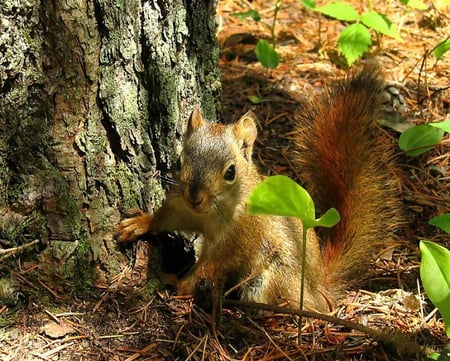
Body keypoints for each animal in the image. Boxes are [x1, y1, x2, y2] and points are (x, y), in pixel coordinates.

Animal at [117, 63, 404, 310]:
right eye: (179, 161)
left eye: (230, 172)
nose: (195, 197)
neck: (210, 211)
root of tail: (319, 290)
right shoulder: (182, 207)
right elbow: (166, 218)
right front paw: (140, 223)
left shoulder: (237, 238)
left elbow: (208, 268)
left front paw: (176, 283)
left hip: (272, 279)